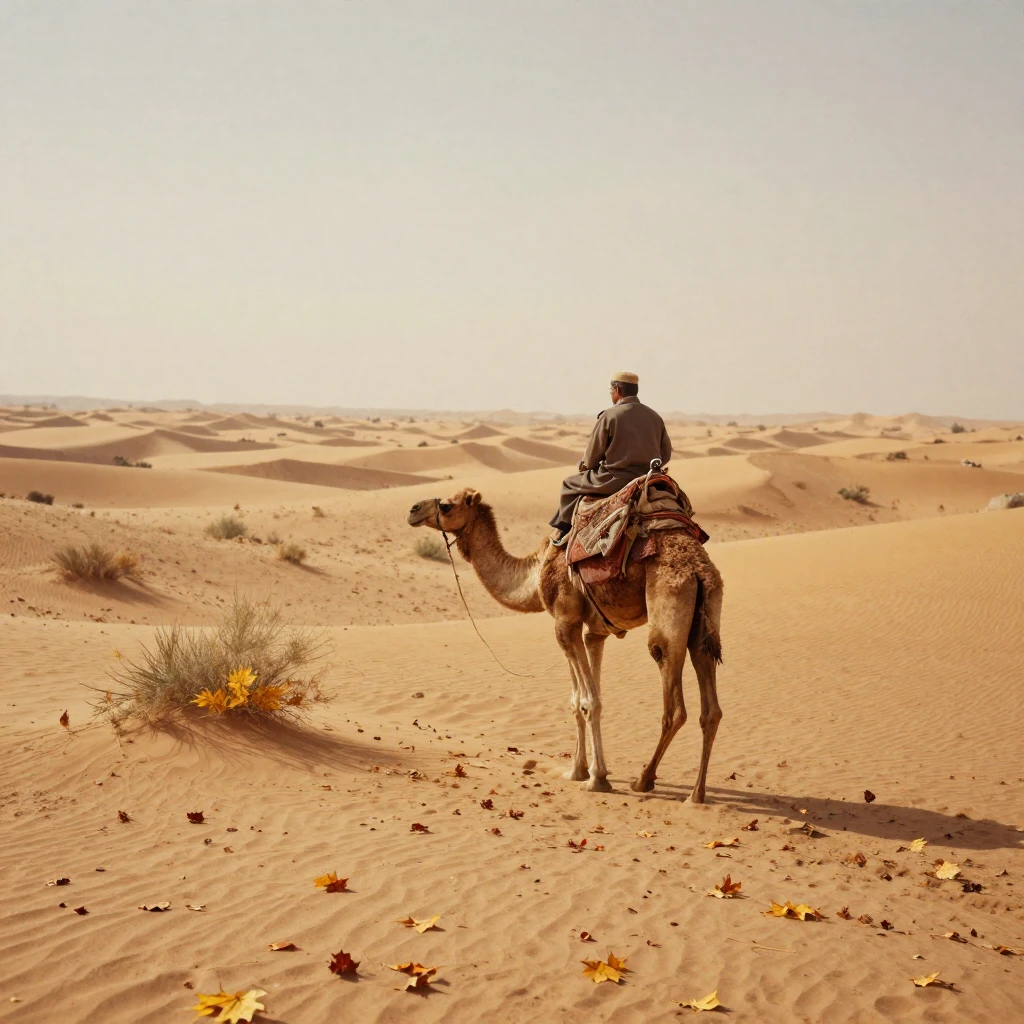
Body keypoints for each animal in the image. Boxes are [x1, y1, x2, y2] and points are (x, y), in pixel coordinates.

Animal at [407, 487, 724, 803]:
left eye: (446, 506)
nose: (413, 510)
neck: (534, 574)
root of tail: (698, 569)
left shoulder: (564, 622)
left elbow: (588, 701)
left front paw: (596, 779)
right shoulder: (592, 632)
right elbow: (579, 700)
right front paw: (579, 770)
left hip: (668, 603)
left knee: (673, 702)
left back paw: (644, 780)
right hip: (704, 621)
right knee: (710, 708)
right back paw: (696, 793)